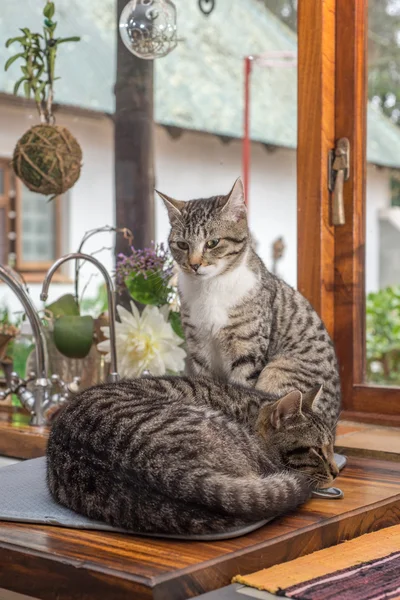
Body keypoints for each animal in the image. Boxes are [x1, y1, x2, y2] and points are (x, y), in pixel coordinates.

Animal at [156, 178, 340, 432]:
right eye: (182, 244)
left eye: (212, 243)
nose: (194, 265)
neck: (211, 288)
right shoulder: (199, 349)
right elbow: (206, 385)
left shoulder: (247, 350)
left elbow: (243, 389)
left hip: (279, 370)